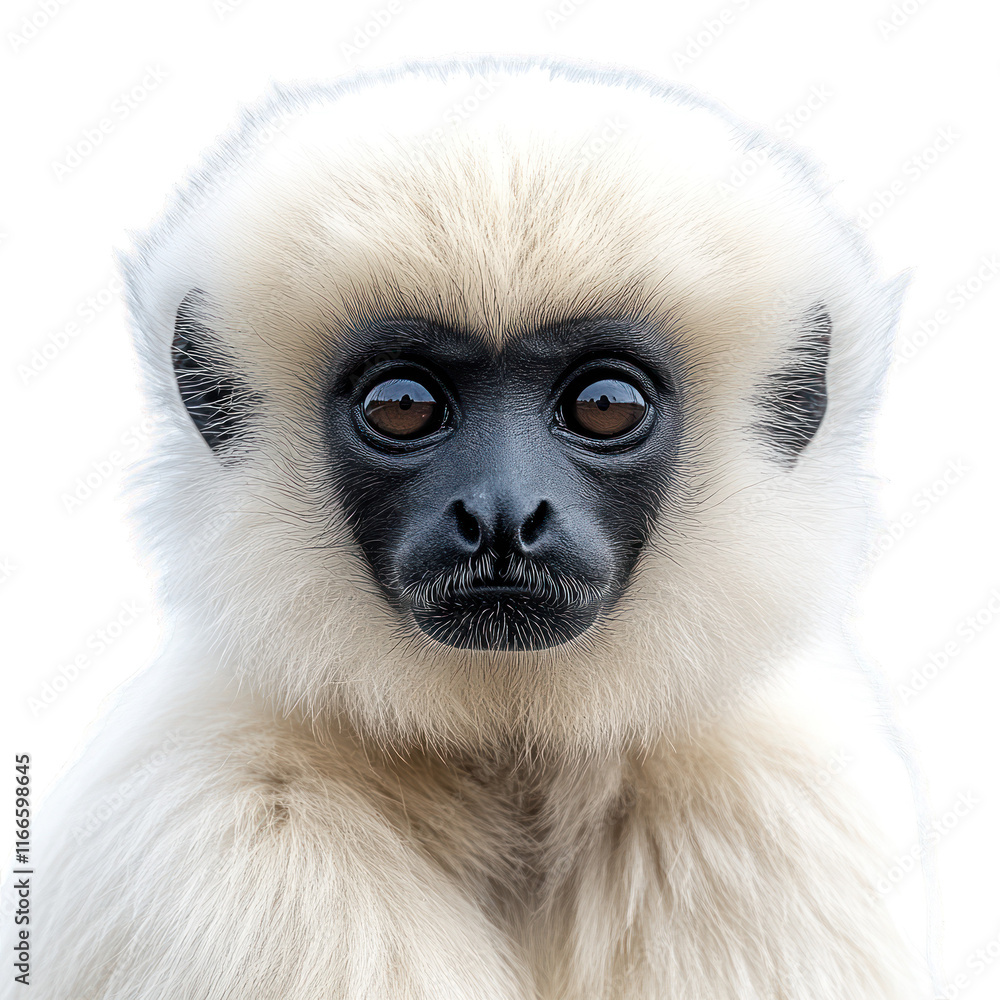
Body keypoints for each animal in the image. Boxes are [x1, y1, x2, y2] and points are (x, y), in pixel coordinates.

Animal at [4, 56, 931, 999]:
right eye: (403, 407)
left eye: (605, 406)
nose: (501, 515)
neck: (511, 774)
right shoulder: (221, 840)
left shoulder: (772, 813)